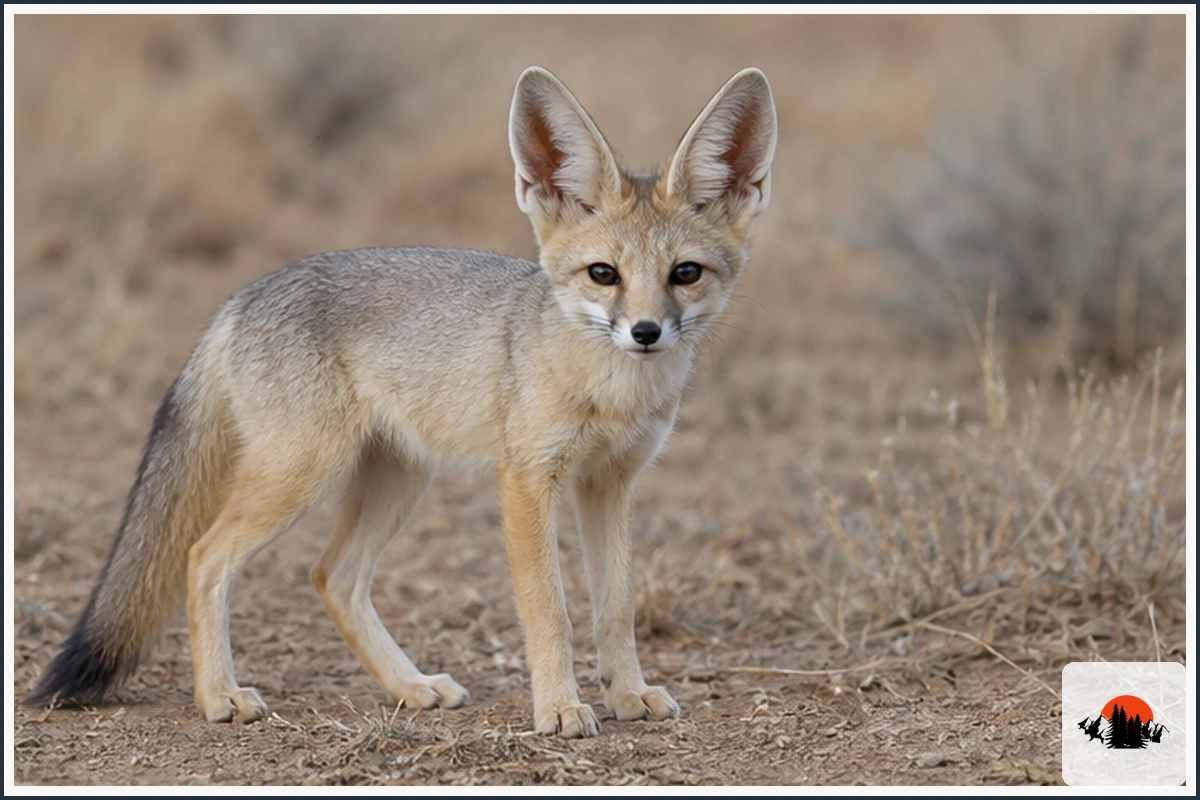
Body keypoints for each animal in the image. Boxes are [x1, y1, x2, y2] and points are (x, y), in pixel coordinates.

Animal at [29, 65, 777, 738]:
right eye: (604, 275)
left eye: (684, 274)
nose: (645, 332)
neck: (610, 390)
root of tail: (243, 295)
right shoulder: (527, 481)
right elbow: (551, 610)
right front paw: (560, 709)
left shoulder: (610, 484)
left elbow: (614, 606)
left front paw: (628, 694)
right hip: (304, 474)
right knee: (204, 557)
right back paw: (220, 697)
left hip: (399, 479)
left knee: (332, 576)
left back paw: (410, 686)